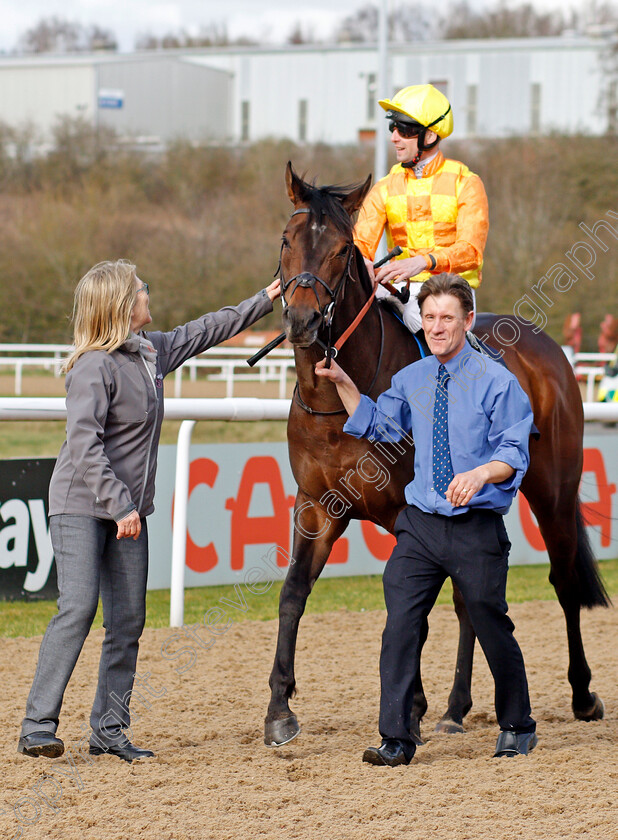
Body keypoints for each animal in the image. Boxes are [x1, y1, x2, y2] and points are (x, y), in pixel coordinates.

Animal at [262, 162, 604, 748]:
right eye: (287, 240)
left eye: (341, 250)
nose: (303, 321)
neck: (337, 402)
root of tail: (550, 348)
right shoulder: (315, 506)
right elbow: (293, 592)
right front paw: (280, 708)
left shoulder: (410, 510)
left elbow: (413, 607)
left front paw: (410, 707)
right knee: (473, 594)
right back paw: (456, 708)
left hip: (553, 490)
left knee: (562, 582)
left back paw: (582, 694)